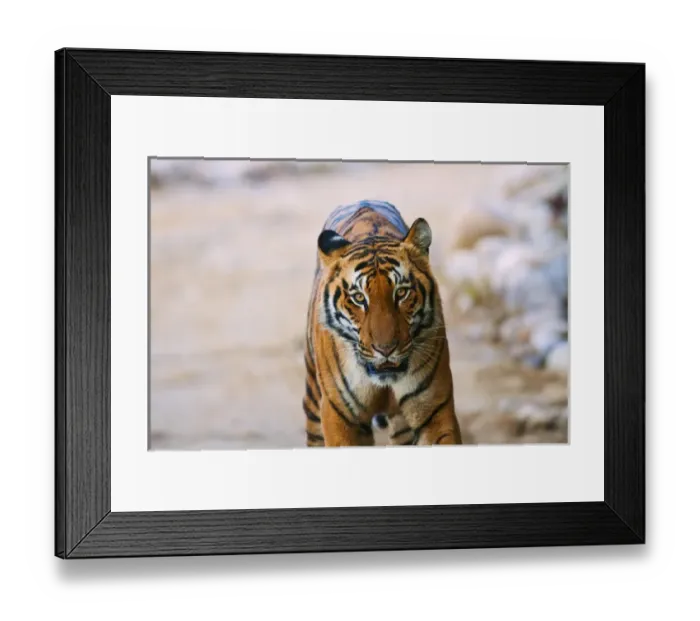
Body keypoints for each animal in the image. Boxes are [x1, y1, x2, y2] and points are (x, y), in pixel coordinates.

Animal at [302, 199, 462, 447]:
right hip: (314, 401)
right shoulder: (340, 417)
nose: (385, 349)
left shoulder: (434, 410)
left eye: (402, 292)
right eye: (359, 298)